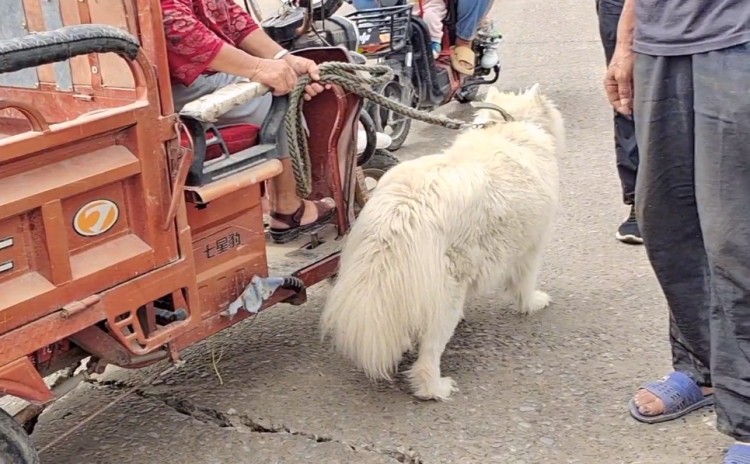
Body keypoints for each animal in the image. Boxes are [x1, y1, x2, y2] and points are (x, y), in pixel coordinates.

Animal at [320, 85, 568, 400]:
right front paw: (533, 303)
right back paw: (436, 388)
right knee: (428, 356)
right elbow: (525, 282)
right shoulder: (531, 245)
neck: (506, 127)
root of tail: (401, 213)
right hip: (447, 294)